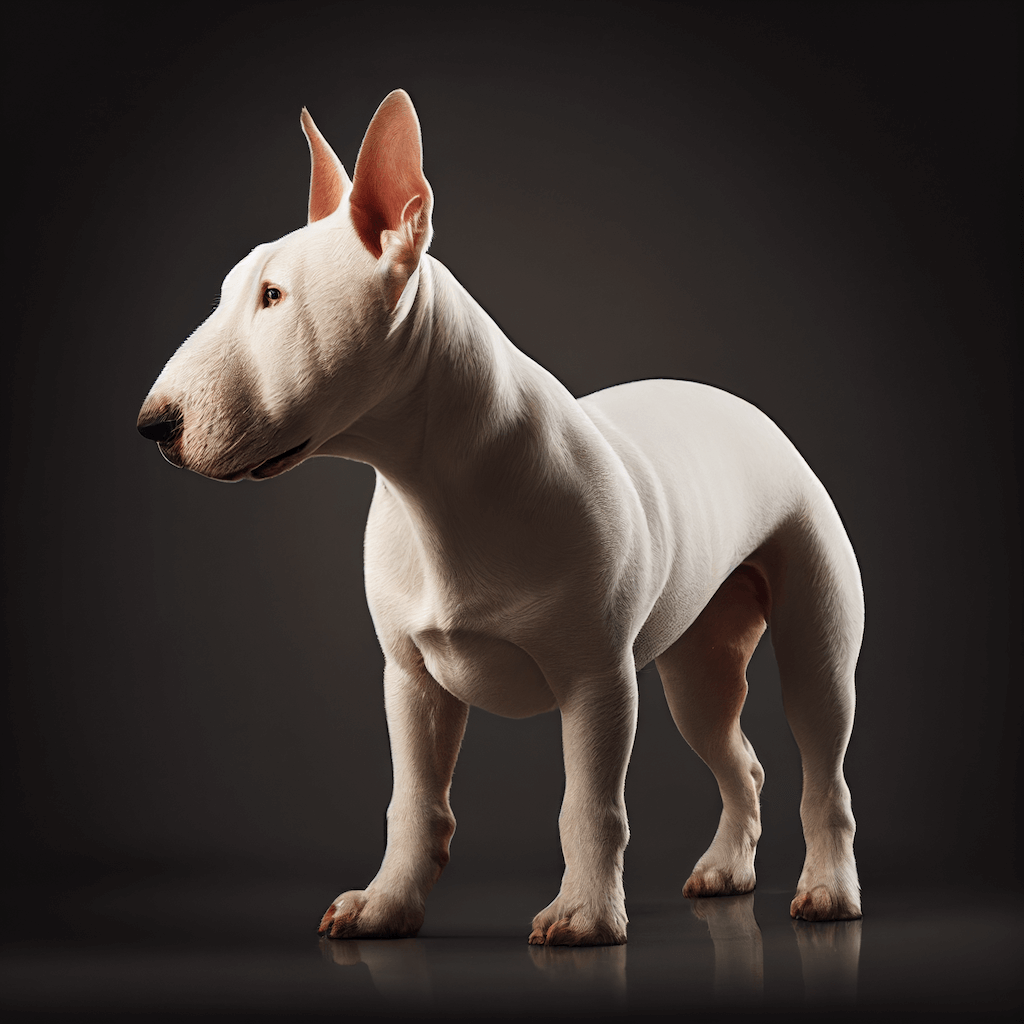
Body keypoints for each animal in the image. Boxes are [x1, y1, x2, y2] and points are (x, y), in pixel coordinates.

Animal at [140, 88, 864, 942]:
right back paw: (727, 869)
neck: (434, 486)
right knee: (738, 756)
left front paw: (586, 915)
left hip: (814, 637)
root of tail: (742, 406)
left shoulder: (596, 682)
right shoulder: (411, 679)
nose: (152, 425)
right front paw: (386, 906)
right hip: (700, 666)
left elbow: (590, 806)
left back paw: (829, 890)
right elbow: (414, 804)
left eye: (275, 298)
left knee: (823, 765)